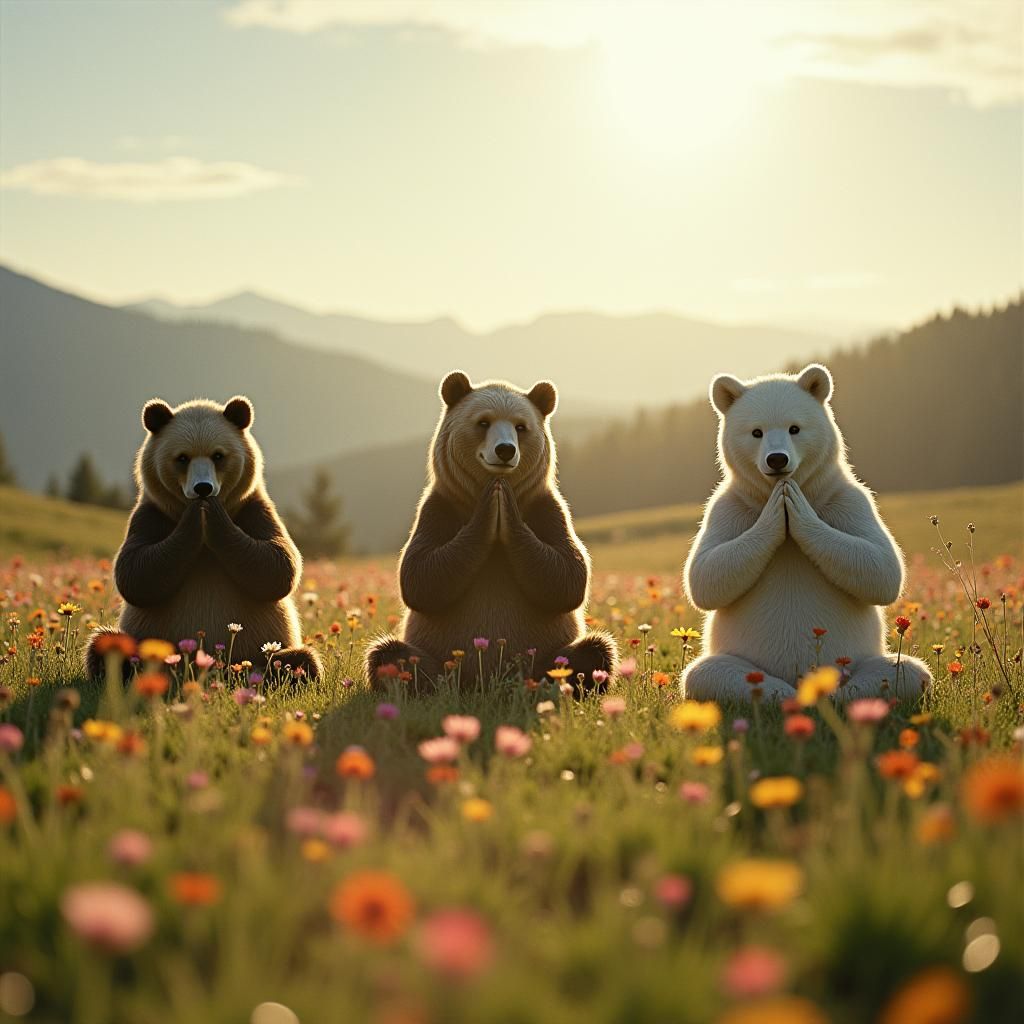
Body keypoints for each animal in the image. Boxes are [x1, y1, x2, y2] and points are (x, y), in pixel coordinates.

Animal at [85, 396, 322, 681]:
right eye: (182, 457)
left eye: (218, 455)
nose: (203, 489)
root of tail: (208, 670)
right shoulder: (151, 515)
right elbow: (135, 573)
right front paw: (195, 518)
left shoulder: (253, 509)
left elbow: (278, 564)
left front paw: (213, 515)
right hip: (142, 644)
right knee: (106, 645)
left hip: (262, 652)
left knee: (299, 660)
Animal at [365, 371, 617, 690]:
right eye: (483, 422)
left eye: (521, 426)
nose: (505, 450)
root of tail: (486, 683)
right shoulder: (439, 507)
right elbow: (420, 575)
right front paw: (491, 505)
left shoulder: (547, 508)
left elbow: (568, 574)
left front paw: (503, 504)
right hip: (437, 655)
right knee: (391, 655)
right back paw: (426, 687)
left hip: (547, 656)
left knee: (594, 650)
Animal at [681, 363, 931, 703]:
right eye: (756, 431)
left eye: (794, 428)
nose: (777, 459)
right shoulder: (727, 507)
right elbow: (705, 575)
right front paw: (777, 510)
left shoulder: (848, 499)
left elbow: (882, 567)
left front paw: (796, 508)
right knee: (704, 674)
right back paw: (780, 693)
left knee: (905, 671)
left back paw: (838, 694)